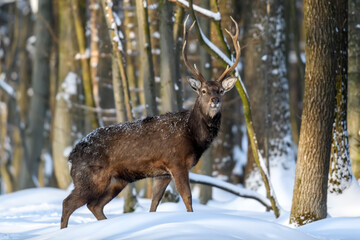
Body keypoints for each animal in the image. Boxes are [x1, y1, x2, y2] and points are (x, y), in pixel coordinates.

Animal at [60, 16, 240, 229]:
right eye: (203, 91)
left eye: (220, 90)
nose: (215, 100)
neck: (193, 135)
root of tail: (71, 156)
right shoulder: (176, 161)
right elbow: (187, 197)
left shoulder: (162, 173)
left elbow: (155, 202)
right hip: (90, 177)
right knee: (68, 203)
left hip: (117, 180)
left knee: (94, 205)